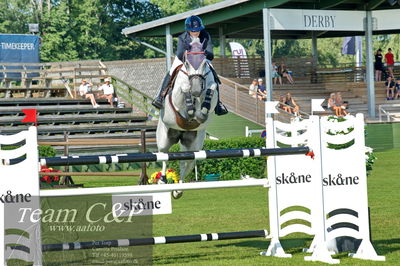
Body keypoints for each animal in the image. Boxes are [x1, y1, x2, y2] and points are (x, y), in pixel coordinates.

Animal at [156, 38, 219, 198]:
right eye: (187, 63)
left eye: (204, 62)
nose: (196, 89)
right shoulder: (177, 97)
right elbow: (184, 89)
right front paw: (192, 111)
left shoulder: (211, 90)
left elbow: (211, 88)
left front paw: (201, 113)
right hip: (164, 138)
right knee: (164, 155)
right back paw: (162, 181)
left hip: (193, 145)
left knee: (187, 162)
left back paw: (178, 189)